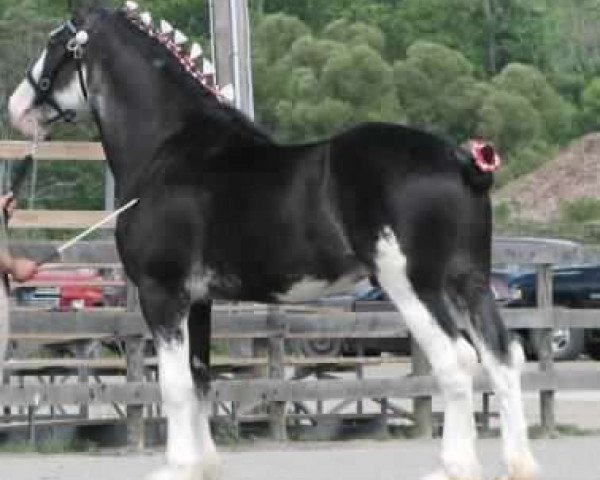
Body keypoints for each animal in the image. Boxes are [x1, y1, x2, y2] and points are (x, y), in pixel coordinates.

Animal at [9, 3, 536, 480]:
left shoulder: (163, 294)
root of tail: (461, 160)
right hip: (468, 282)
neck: (170, 151)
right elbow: (200, 377)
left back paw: (454, 467)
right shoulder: (198, 301)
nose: (16, 107)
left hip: (413, 286)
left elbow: (175, 385)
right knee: (502, 357)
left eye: (56, 43)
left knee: (457, 361)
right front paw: (204, 465)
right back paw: (519, 465)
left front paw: (178, 466)